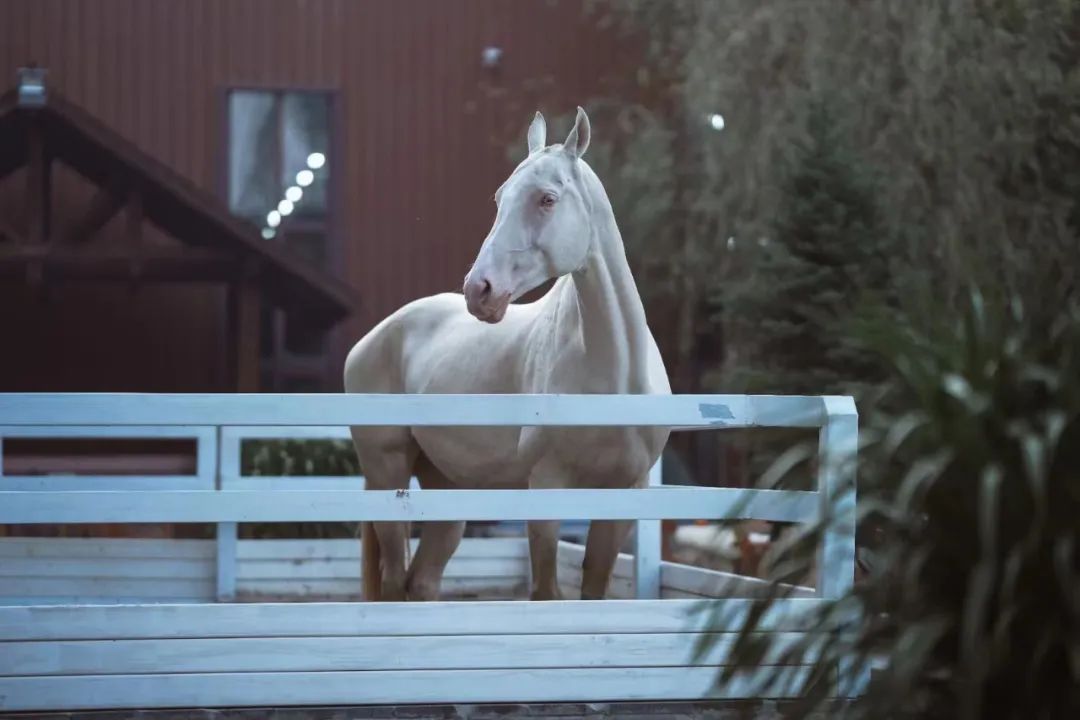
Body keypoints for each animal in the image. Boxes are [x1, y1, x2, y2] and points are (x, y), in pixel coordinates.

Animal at [343, 107, 671, 602]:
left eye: (547, 199)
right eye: (500, 198)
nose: (479, 290)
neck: (615, 377)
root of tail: (373, 339)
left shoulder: (624, 491)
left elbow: (593, 591)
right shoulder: (548, 487)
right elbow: (547, 593)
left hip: (448, 489)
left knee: (422, 581)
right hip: (388, 472)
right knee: (395, 582)